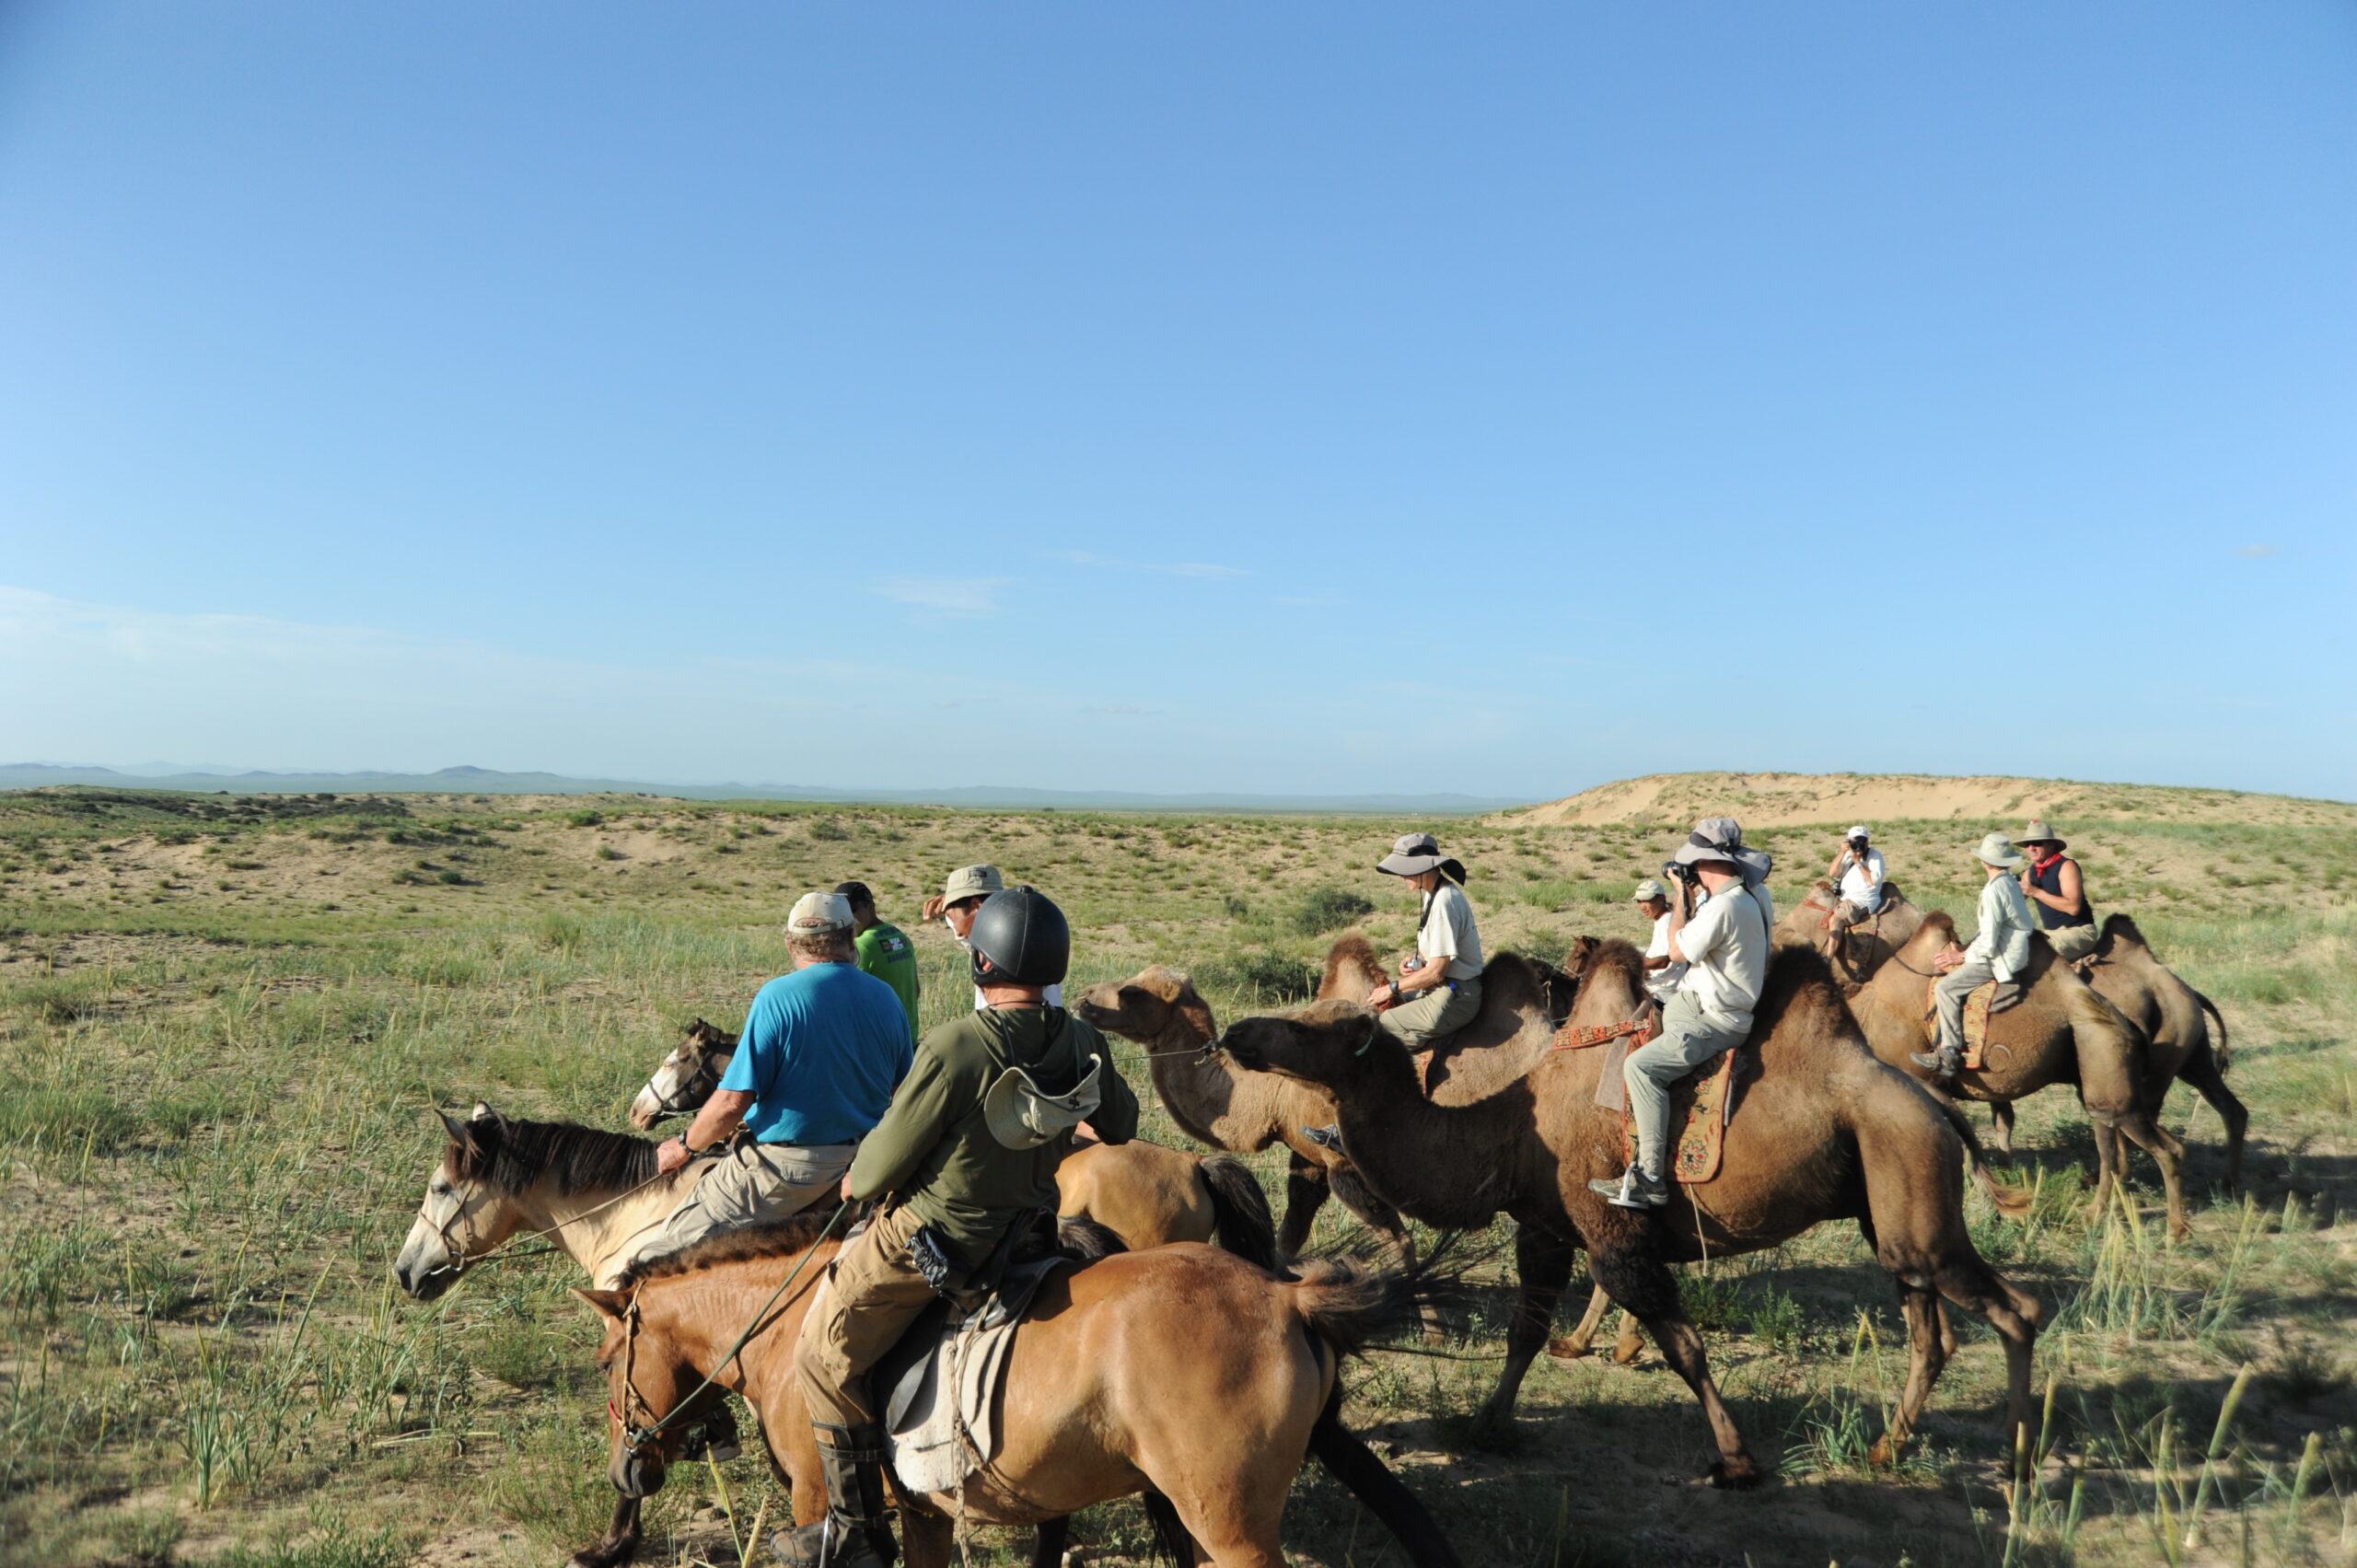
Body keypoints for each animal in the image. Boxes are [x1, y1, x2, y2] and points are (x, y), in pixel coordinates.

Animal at [1219, 943, 2042, 1480]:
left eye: (1308, 1026)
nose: (1235, 1033)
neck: (1509, 1127)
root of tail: (1937, 1106)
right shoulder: (1544, 1226)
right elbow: (1525, 1330)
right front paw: (1488, 1421)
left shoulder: (1611, 1231)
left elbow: (1684, 1347)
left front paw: (1735, 1458)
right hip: (1889, 1204)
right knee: (1932, 1330)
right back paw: (1889, 1448)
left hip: (1907, 1179)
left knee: (2013, 1310)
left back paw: (2017, 1456)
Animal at [1778, 881, 2199, 1236]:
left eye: (1826, 920)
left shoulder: (1922, 1080)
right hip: (2095, 1068)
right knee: (2114, 1142)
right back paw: (2101, 1212)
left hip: (2103, 1060)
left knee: (2149, 1144)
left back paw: (2172, 1229)